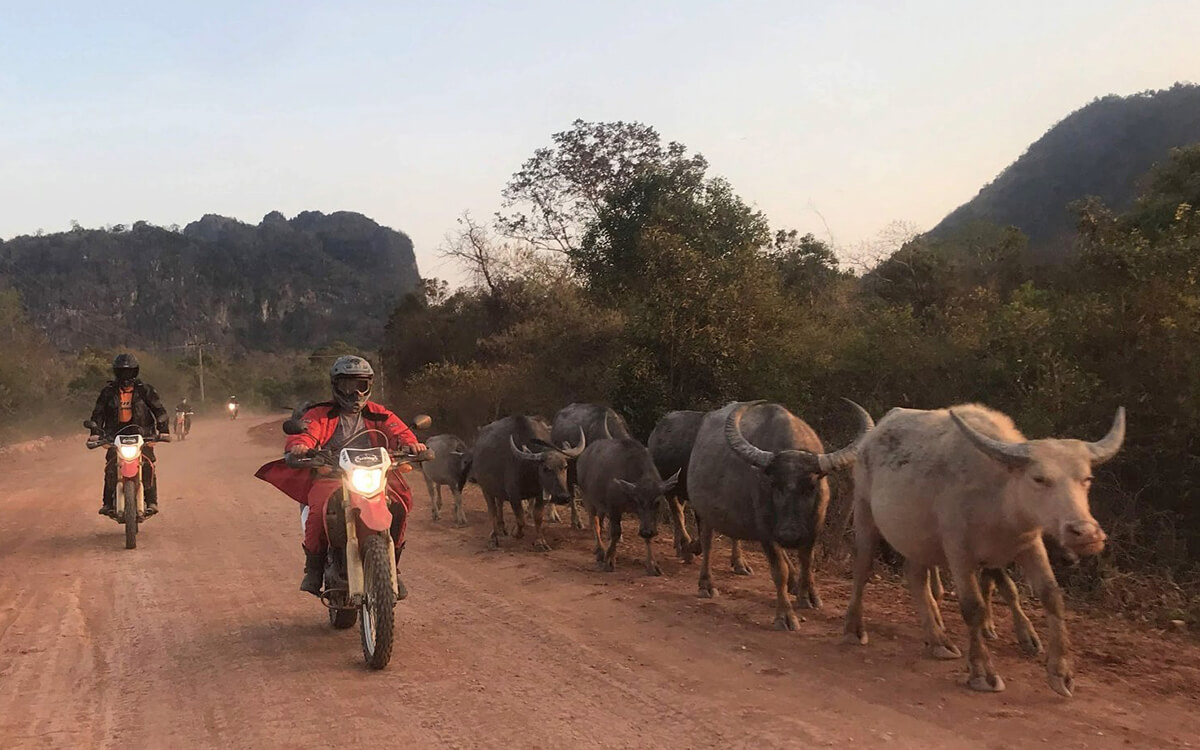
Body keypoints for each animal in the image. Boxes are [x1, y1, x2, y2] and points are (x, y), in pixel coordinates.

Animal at [468, 415, 585, 549]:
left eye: (565, 466)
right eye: (545, 468)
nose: (563, 497)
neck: (529, 470)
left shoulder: (540, 494)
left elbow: (537, 517)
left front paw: (540, 542)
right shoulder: (514, 494)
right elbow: (520, 518)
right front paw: (516, 533)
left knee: (500, 504)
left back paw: (501, 528)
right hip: (486, 489)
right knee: (492, 510)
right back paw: (494, 537)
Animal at [576, 439, 681, 573]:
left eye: (657, 502)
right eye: (638, 501)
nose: (646, 532)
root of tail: (583, 456)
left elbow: (646, 537)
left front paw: (652, 565)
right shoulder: (614, 508)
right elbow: (615, 533)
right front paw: (608, 561)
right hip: (587, 498)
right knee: (594, 523)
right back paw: (600, 552)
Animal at [648, 405, 748, 571]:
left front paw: (740, 563)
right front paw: (692, 547)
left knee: (680, 512)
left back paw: (680, 548)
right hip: (669, 487)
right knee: (677, 514)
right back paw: (685, 548)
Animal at [686, 400, 873, 628]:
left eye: (810, 486)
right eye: (774, 484)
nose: (789, 534)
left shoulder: (813, 528)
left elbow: (807, 561)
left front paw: (808, 596)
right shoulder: (766, 531)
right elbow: (779, 571)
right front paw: (785, 615)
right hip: (705, 511)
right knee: (707, 543)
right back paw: (706, 584)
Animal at [844, 403, 1123, 696]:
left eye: (1086, 478)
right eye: (1039, 478)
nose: (1086, 533)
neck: (1001, 499)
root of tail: (874, 434)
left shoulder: (1029, 546)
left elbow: (1050, 595)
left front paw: (1061, 673)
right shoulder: (959, 552)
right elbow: (973, 608)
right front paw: (982, 672)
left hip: (916, 539)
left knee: (916, 577)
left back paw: (938, 640)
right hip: (864, 511)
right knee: (863, 568)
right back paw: (854, 628)